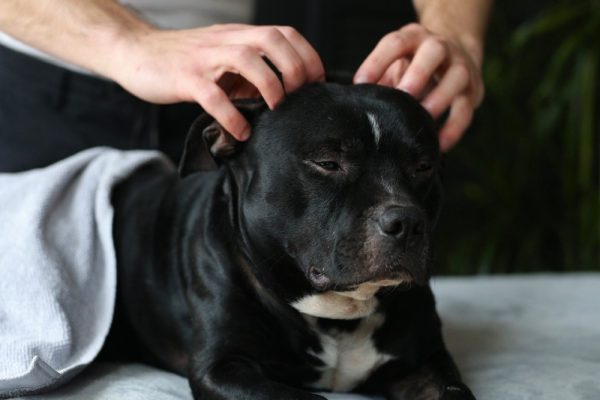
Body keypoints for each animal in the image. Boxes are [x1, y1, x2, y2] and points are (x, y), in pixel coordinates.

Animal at [106, 82, 474, 400]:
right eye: (327, 163)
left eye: (424, 167)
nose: (406, 222)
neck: (339, 316)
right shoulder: (222, 367)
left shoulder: (426, 363)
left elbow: (457, 393)